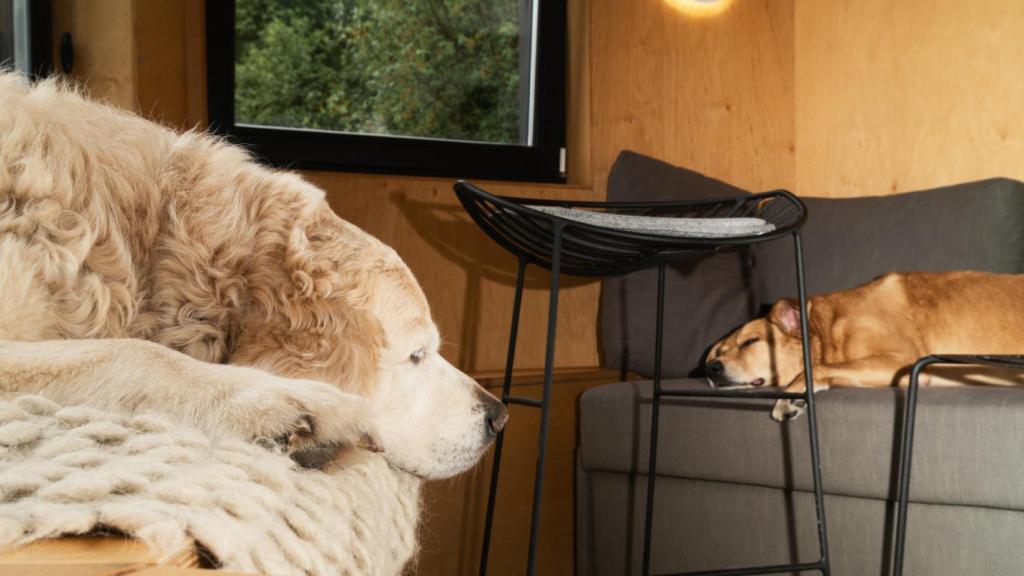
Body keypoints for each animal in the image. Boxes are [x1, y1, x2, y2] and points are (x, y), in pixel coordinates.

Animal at [704, 268, 1024, 422]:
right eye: (717, 353)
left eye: (750, 341)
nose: (711, 369)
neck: (830, 325)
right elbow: (829, 369)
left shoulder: (901, 361)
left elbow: (818, 367)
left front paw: (789, 396)